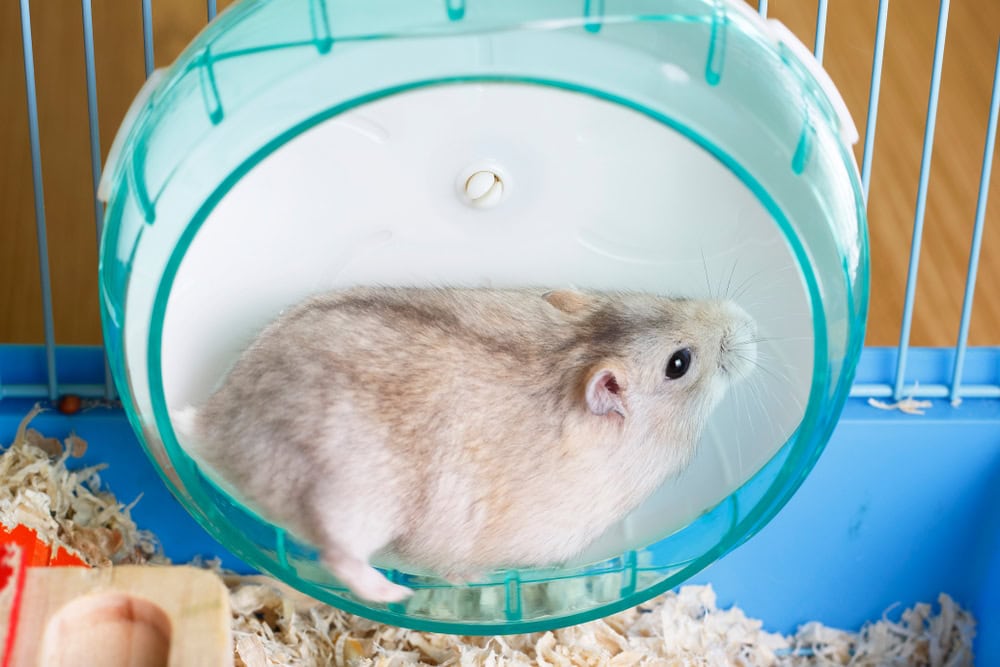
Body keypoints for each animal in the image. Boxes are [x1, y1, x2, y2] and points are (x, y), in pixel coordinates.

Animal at [173, 286, 757, 603]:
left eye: (669, 298)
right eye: (679, 363)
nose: (751, 323)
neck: (572, 354)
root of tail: (212, 424)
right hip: (350, 501)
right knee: (338, 556)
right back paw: (397, 592)